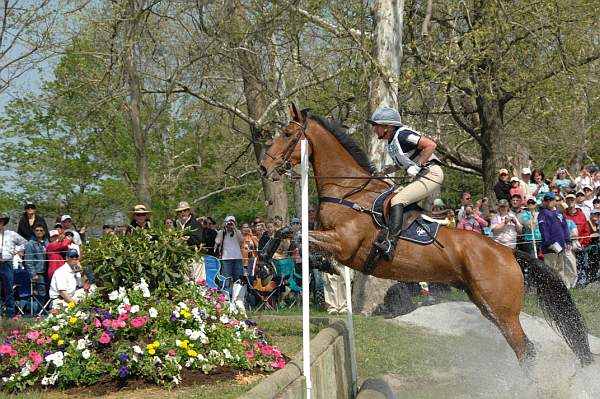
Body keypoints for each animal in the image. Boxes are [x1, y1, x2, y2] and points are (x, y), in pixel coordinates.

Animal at [260, 104, 592, 368]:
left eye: (287, 134)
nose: (264, 167)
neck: (348, 190)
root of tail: (508, 252)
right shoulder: (332, 238)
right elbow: (288, 231)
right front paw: (271, 260)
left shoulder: (343, 243)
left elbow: (296, 235)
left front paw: (297, 263)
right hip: (486, 305)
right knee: (522, 348)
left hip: (502, 309)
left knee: (526, 349)